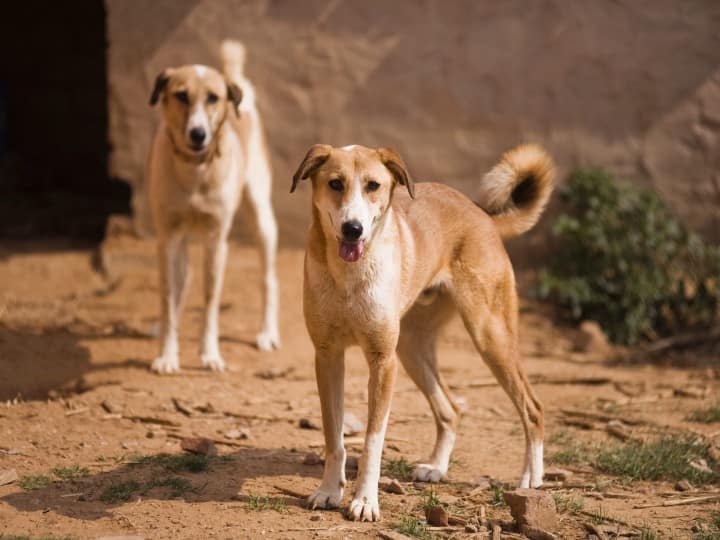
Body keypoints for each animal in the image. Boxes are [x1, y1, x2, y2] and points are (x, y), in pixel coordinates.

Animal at [148, 41, 280, 376]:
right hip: (179, 240)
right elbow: (168, 297)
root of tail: (235, 78)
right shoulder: (167, 238)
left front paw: (209, 354)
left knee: (268, 279)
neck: (195, 170)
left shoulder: (216, 240)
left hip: (262, 219)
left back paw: (267, 333)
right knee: (181, 282)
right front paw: (167, 354)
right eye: (181, 95)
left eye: (213, 98)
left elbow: (210, 302)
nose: (198, 134)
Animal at [290, 142, 556, 520]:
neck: (348, 275)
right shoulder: (327, 357)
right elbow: (334, 438)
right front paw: (329, 491)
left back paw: (531, 479)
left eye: (373, 185)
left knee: (533, 408)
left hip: (489, 335)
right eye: (335, 184)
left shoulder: (382, 361)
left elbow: (372, 442)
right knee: (451, 409)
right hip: (412, 349)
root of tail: (483, 215)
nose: (353, 228)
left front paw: (365, 501)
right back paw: (437, 468)